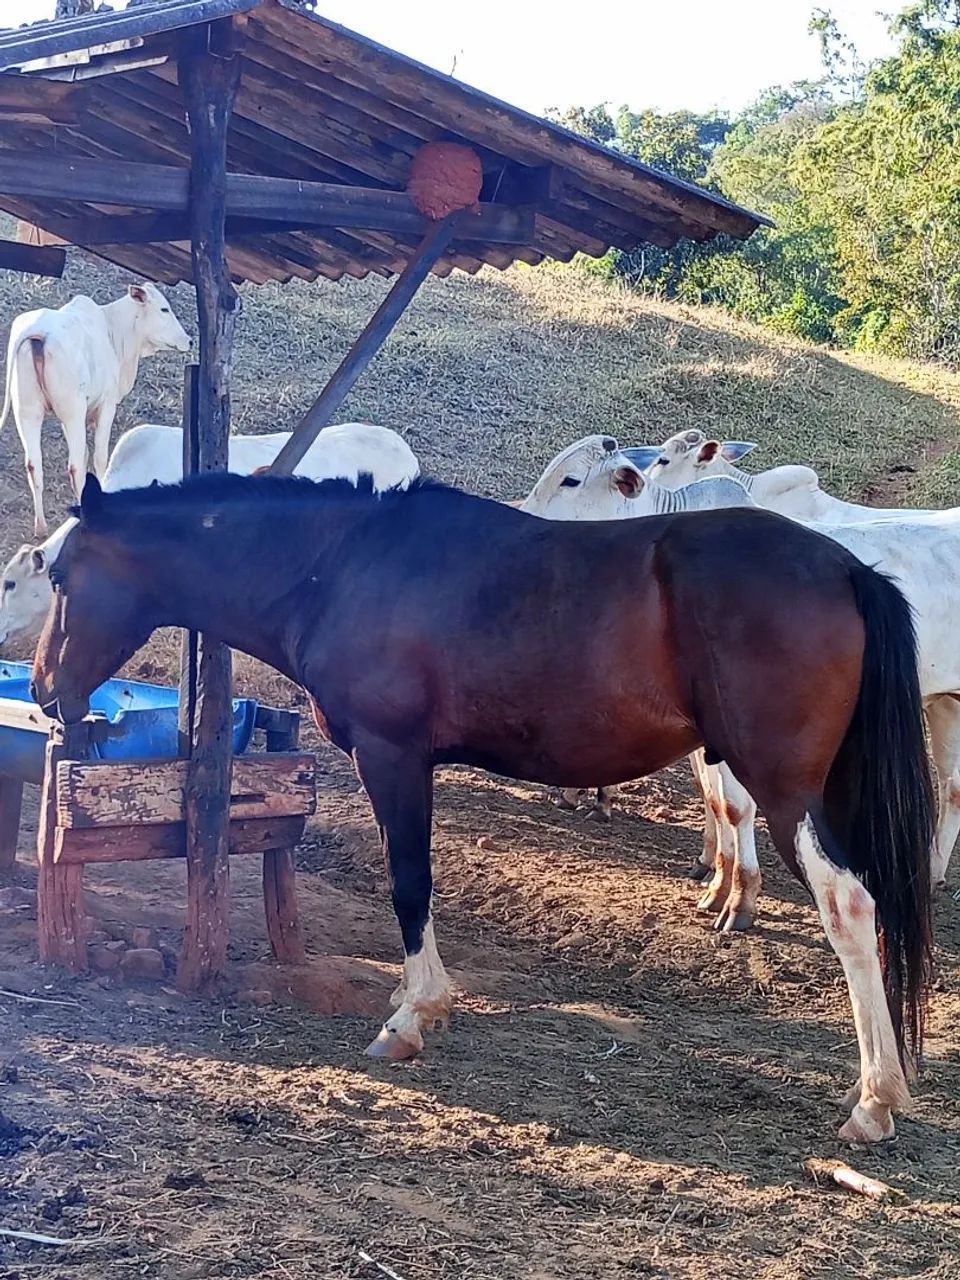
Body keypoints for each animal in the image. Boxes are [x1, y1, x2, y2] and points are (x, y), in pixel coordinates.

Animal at [31, 471, 935, 1143]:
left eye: (57, 574)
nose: (42, 689)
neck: (343, 563)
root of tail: (847, 569)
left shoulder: (392, 756)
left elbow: (410, 883)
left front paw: (413, 1015)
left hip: (788, 794)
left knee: (851, 908)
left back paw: (874, 1101)